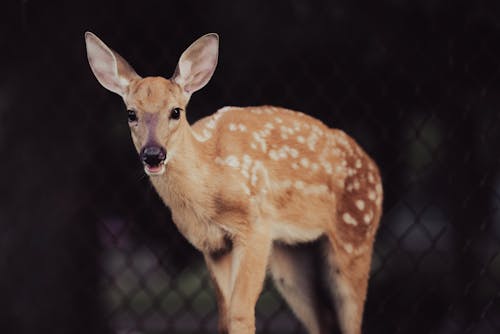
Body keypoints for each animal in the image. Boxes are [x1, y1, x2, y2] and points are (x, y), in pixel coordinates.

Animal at [86, 32, 382, 334]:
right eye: (131, 113)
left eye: (176, 111)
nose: (153, 154)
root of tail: (374, 169)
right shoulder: (212, 245)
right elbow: (224, 316)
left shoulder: (255, 225)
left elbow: (240, 313)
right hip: (291, 254)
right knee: (324, 320)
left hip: (355, 238)